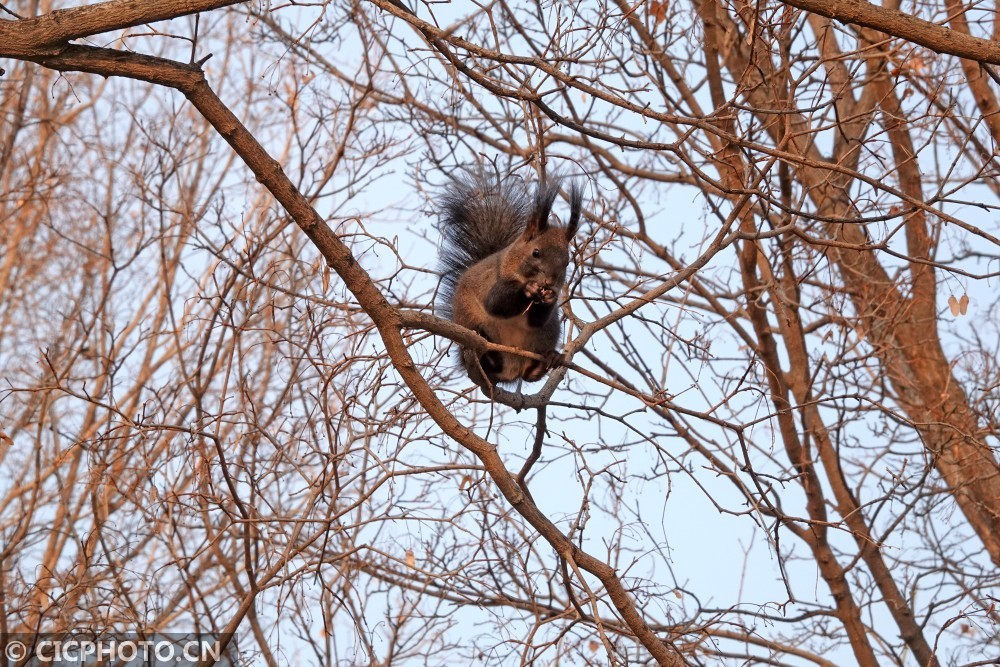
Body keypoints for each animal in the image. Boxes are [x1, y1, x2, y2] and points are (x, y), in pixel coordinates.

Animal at [436, 171, 584, 392]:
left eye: (567, 262)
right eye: (536, 252)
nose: (549, 282)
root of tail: (511, 369)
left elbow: (536, 319)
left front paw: (550, 297)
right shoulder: (491, 280)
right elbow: (496, 304)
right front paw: (528, 289)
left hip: (548, 333)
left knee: (529, 374)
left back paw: (545, 362)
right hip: (470, 325)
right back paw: (489, 357)